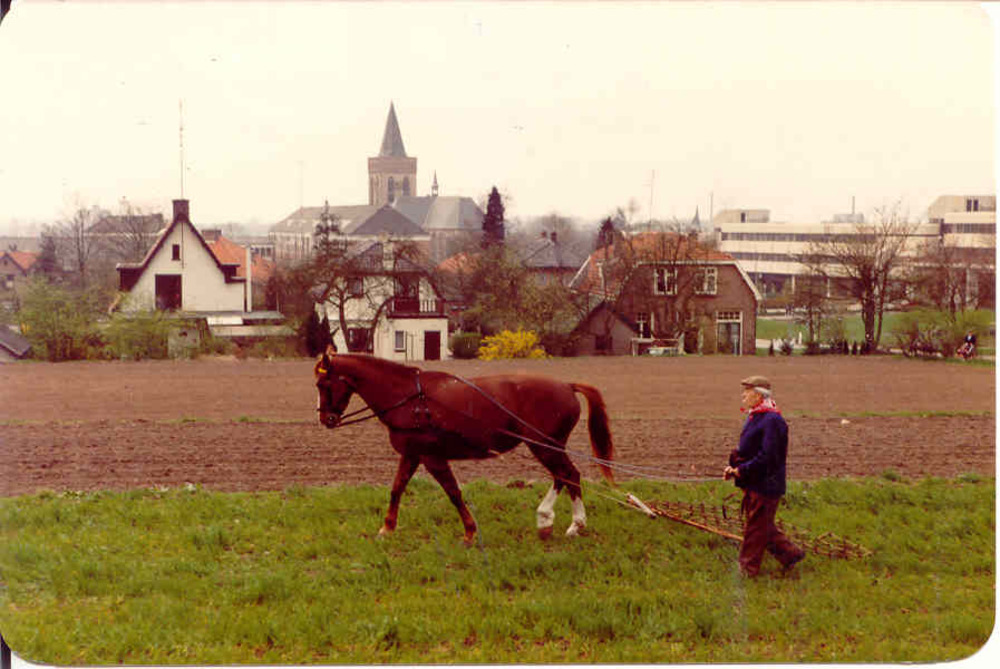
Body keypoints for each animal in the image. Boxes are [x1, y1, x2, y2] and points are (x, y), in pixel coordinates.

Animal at [314, 347, 615, 545]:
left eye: (323, 383)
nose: (326, 419)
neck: (410, 399)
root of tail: (566, 385)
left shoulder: (432, 457)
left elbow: (453, 493)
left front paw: (470, 531)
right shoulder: (412, 454)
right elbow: (397, 489)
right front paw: (387, 529)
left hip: (545, 446)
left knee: (569, 475)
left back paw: (574, 525)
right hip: (548, 447)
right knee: (562, 476)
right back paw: (547, 520)